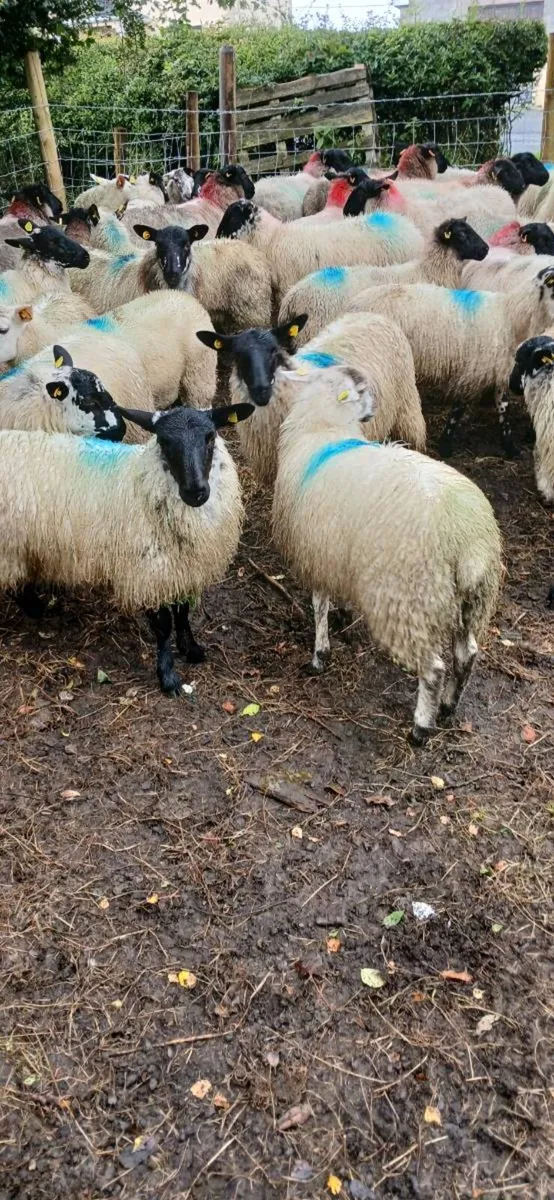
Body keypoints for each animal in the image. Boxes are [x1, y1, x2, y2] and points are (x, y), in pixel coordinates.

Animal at [0, 395, 254, 694]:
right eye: (164, 441)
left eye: (210, 436)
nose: (195, 492)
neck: (139, 482)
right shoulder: (149, 571)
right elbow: (163, 625)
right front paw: (168, 676)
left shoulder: (181, 567)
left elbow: (183, 612)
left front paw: (191, 648)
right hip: (8, 546)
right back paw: (36, 608)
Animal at [271, 363, 502, 743]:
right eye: (361, 391)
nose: (374, 410)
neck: (325, 431)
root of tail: (469, 542)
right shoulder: (338, 553)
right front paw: (344, 614)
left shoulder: (316, 552)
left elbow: (319, 606)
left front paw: (319, 655)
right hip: (474, 600)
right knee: (466, 654)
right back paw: (450, 704)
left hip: (410, 599)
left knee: (433, 668)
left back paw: (421, 727)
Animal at [346, 266, 554, 457]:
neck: (511, 317)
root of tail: (354, 303)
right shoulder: (473, 370)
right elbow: (458, 408)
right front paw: (445, 445)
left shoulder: (498, 369)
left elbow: (502, 407)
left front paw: (510, 446)